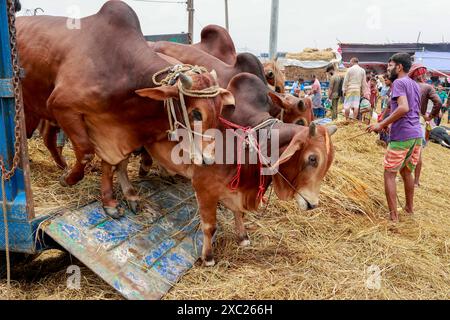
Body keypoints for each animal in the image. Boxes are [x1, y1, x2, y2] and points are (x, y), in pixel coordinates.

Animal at [16, 1, 234, 218]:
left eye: (220, 110)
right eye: (196, 113)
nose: (209, 159)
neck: (122, 70)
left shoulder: (117, 129)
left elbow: (116, 162)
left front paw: (116, 198)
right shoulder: (61, 106)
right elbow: (86, 152)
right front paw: (69, 179)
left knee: (46, 135)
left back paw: (61, 164)